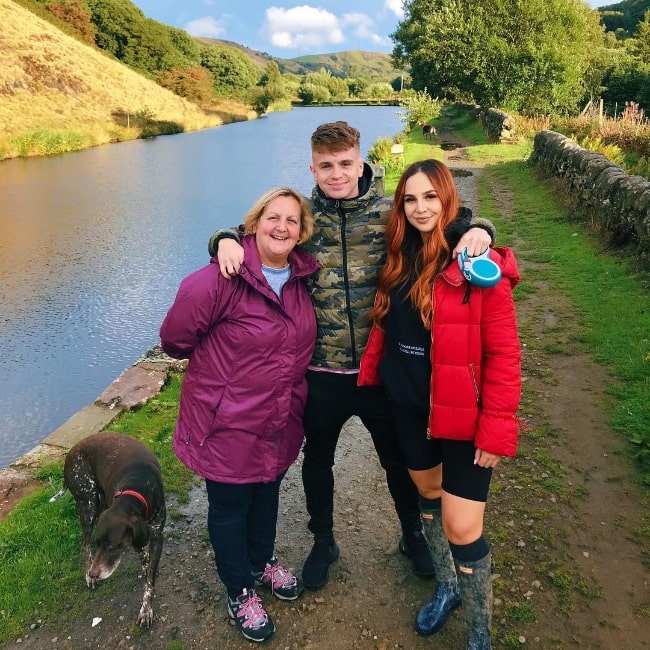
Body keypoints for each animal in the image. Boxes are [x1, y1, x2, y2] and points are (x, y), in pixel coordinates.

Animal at [51, 430, 166, 624]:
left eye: (112, 546)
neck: (136, 488)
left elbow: (149, 574)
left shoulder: (155, 537)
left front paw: (146, 605)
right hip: (88, 504)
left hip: (99, 504)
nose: (93, 573)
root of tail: (70, 454)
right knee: (84, 542)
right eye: (98, 543)